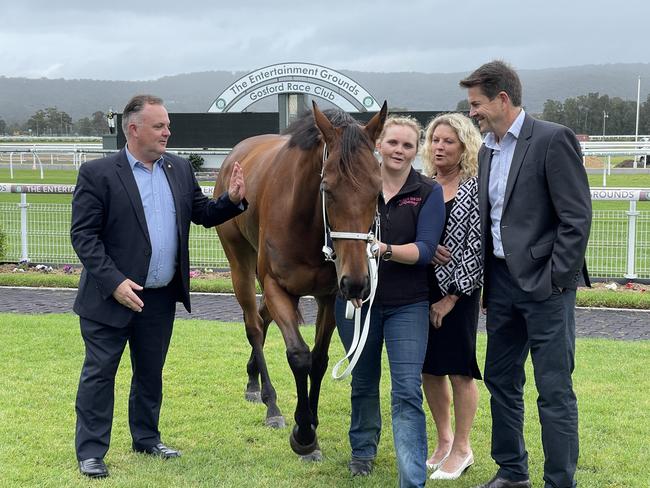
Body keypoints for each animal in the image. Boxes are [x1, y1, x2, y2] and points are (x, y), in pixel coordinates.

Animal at [214, 101, 384, 460]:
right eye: (327, 189)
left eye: (378, 192)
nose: (357, 282)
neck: (306, 223)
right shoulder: (277, 287)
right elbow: (298, 355)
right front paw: (303, 433)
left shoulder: (330, 295)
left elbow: (318, 359)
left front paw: (312, 424)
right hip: (239, 263)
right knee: (253, 324)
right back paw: (270, 403)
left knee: (261, 319)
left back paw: (252, 380)